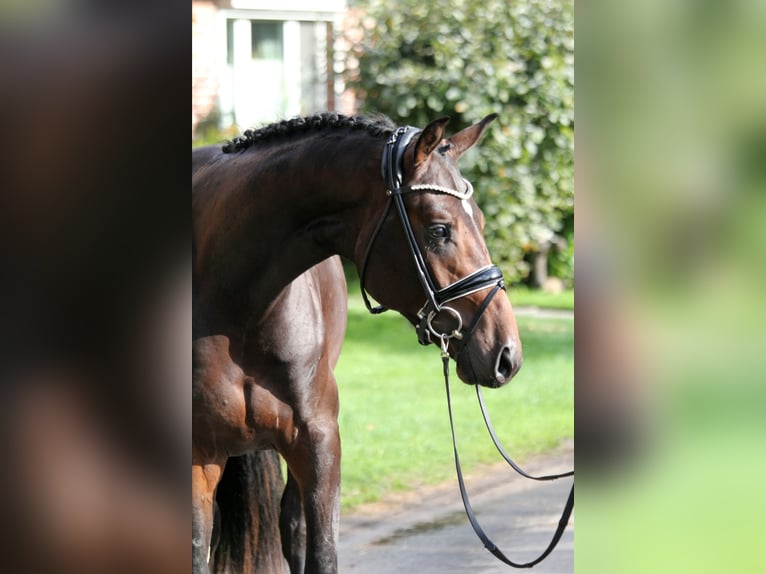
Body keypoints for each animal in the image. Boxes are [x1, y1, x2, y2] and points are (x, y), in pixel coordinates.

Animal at [195, 113, 524, 574]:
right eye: (440, 229)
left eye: (479, 219)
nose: (506, 353)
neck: (237, 303)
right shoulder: (200, 455)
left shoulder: (318, 444)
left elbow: (321, 554)